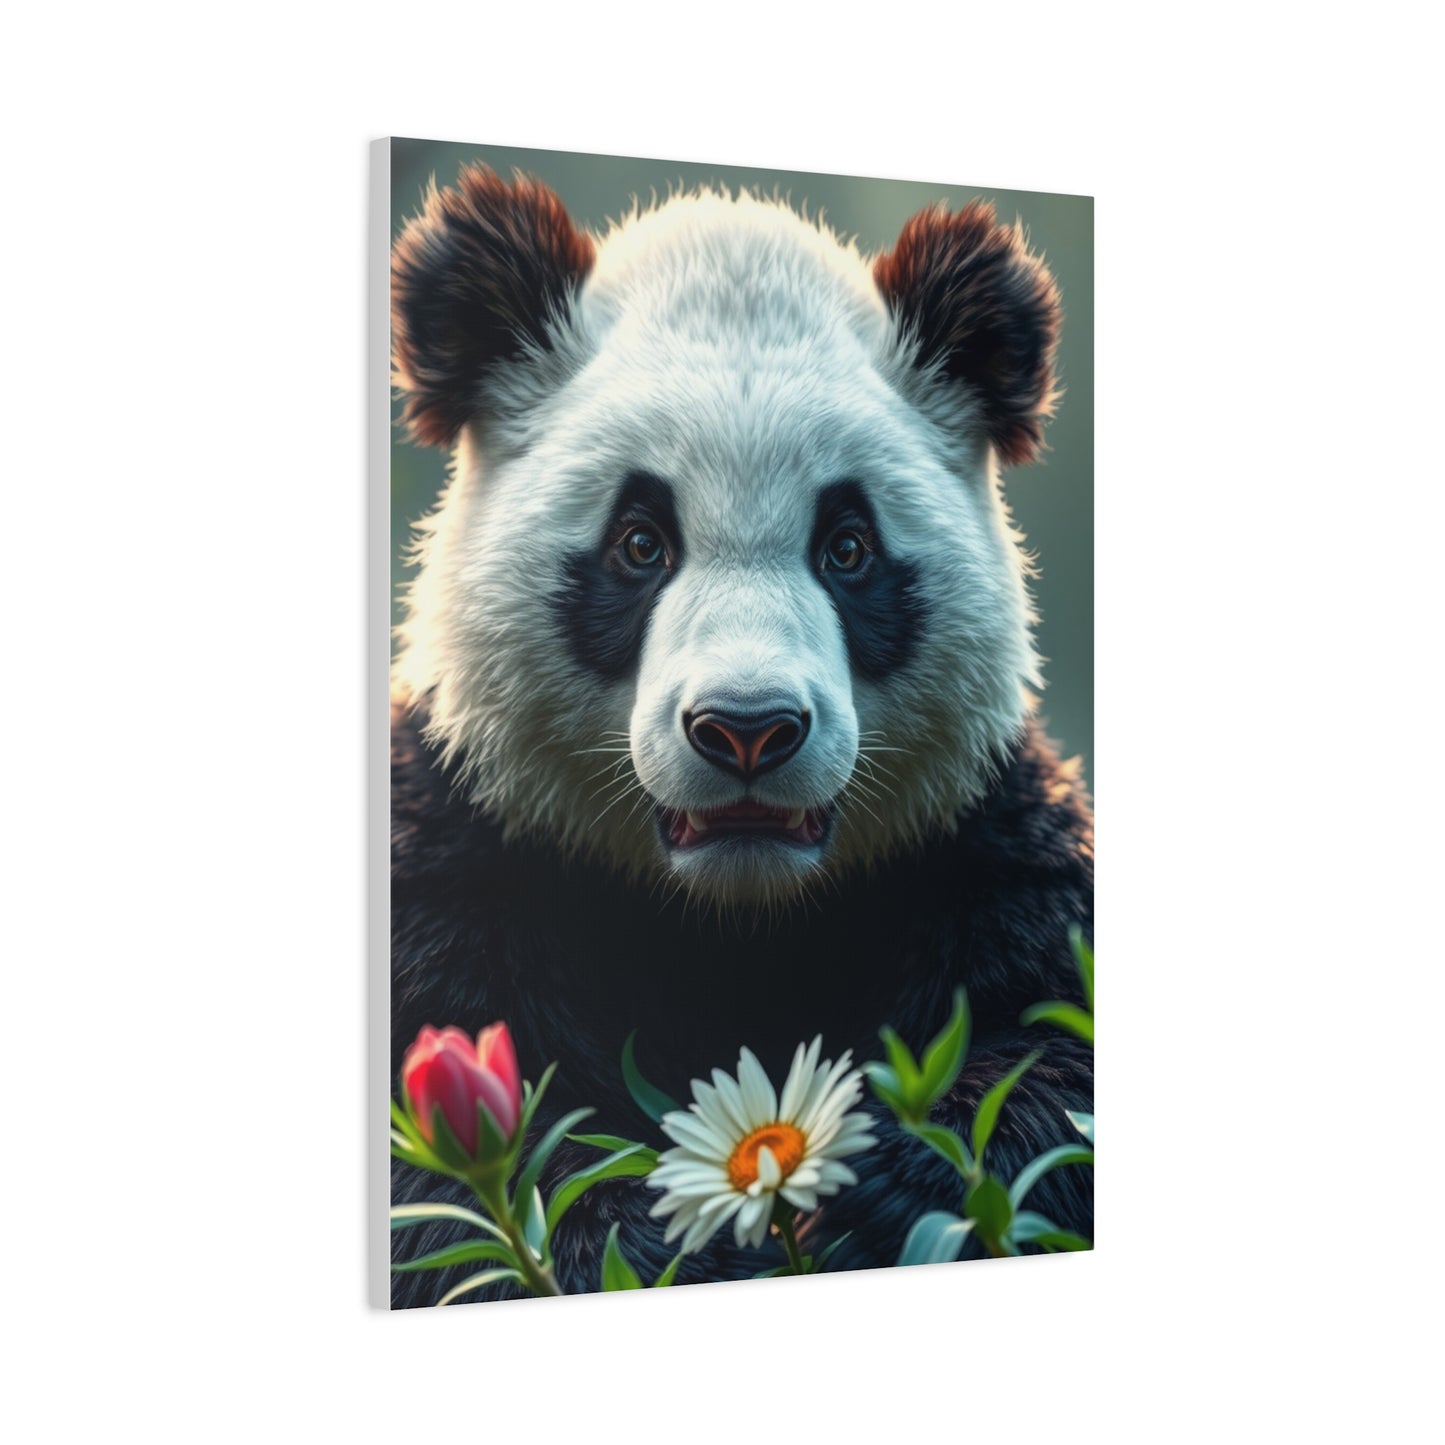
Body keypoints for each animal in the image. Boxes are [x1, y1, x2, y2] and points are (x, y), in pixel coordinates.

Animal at [389, 165, 1093, 1306]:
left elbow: (1055, 1052)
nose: (748, 730)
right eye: (639, 542)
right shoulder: (463, 848)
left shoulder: (977, 840)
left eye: (847, 547)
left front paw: (880, 1185)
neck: (732, 919)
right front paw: (658, 1238)